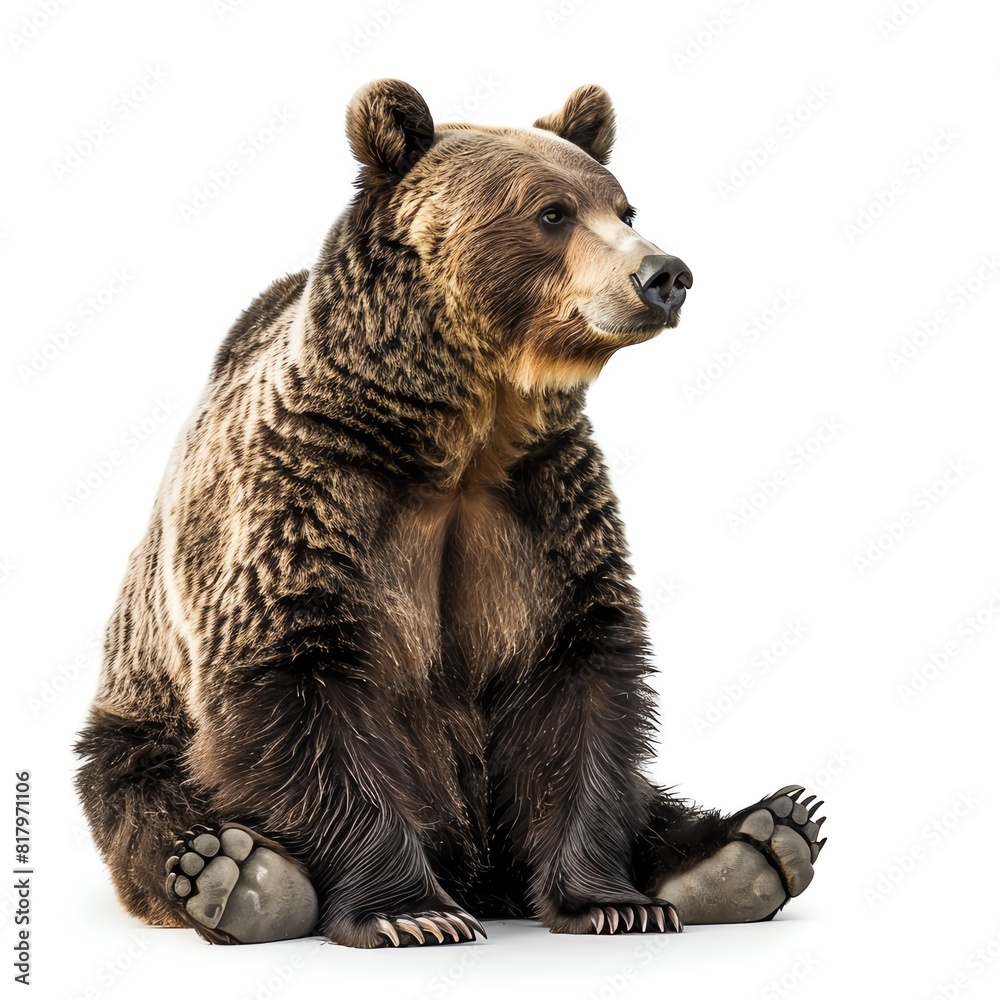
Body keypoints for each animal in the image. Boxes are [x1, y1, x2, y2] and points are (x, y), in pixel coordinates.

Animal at [75, 79, 826, 948]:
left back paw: (755, 844)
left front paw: (613, 901)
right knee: (149, 797)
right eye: (551, 212)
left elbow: (579, 677)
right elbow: (301, 681)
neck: (461, 432)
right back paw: (240, 874)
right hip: (139, 720)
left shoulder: (542, 505)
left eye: (624, 207)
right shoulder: (314, 494)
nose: (665, 274)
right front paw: (411, 911)